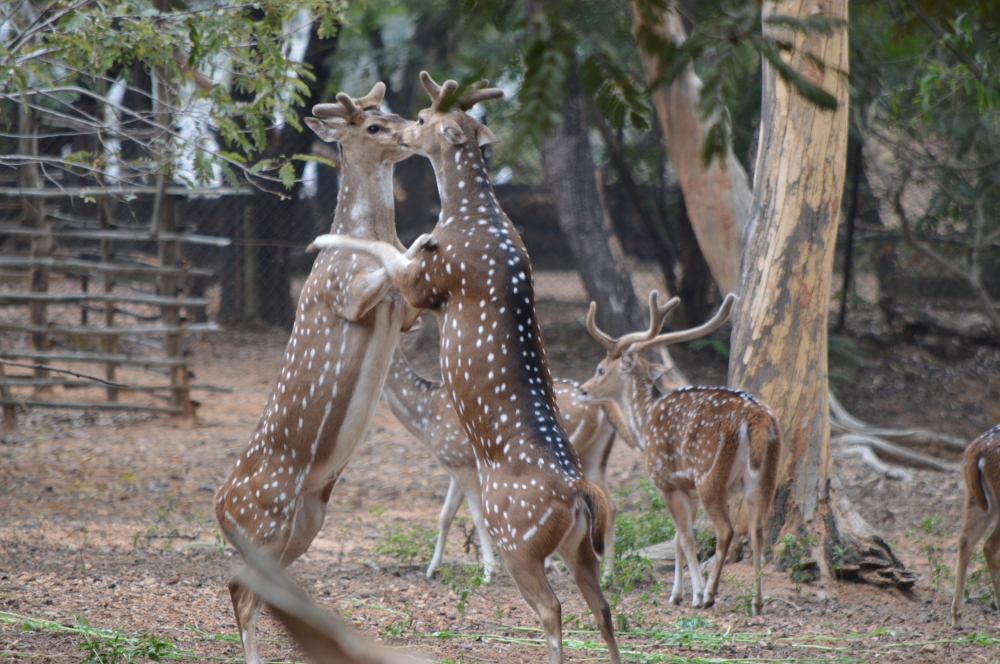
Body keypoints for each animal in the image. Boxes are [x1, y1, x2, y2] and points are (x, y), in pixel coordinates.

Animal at [214, 82, 421, 664]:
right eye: (372, 126)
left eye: (393, 110)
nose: (416, 129)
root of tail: (217, 510)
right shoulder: (345, 293)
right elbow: (389, 265)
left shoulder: (405, 318)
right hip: (268, 519)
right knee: (240, 588)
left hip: (306, 521)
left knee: (259, 589)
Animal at [382, 342, 632, 584]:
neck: (425, 417)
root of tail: (602, 406)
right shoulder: (453, 467)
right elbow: (445, 515)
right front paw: (431, 569)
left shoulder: (463, 463)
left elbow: (477, 516)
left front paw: (488, 572)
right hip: (595, 453)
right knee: (609, 504)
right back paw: (607, 575)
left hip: (570, 453)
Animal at [577, 291, 781, 616]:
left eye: (600, 369)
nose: (583, 390)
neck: (644, 423)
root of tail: (758, 419)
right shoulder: (687, 490)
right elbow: (675, 540)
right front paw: (676, 595)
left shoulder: (667, 482)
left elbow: (685, 538)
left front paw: (693, 594)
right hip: (765, 477)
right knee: (758, 530)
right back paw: (757, 601)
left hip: (709, 474)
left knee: (726, 530)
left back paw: (710, 594)